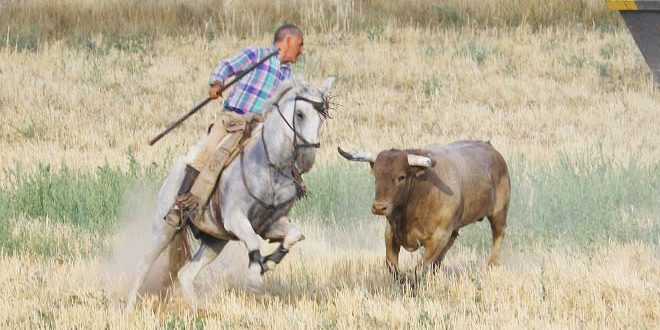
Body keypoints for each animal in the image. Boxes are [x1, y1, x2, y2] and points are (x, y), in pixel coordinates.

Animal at [126, 76, 336, 308]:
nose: (308, 158)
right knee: (143, 265)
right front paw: (255, 280)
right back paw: (129, 308)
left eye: (322, 116)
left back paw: (196, 310)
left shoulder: (270, 224)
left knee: (185, 274)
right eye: (299, 114)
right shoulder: (235, 219)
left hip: (215, 241)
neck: (270, 167)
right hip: (163, 230)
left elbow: (295, 234)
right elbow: (253, 242)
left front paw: (268, 263)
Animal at [338, 141, 512, 276]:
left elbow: (420, 267)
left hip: (499, 213)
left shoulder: (438, 237)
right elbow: (392, 266)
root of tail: (491, 149)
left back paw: (491, 265)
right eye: (376, 175)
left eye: (401, 176)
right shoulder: (390, 232)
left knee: (498, 235)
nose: (379, 207)